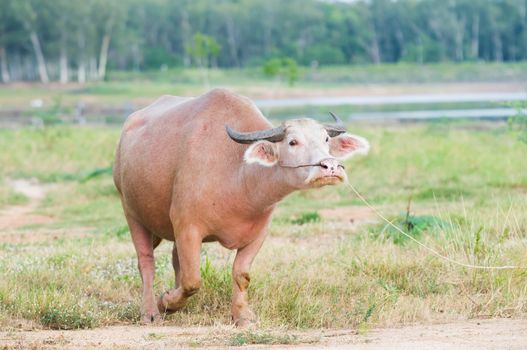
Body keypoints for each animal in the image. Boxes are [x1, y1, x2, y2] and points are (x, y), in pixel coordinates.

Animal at [114, 89, 372, 326]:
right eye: (292, 141)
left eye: (326, 140)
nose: (330, 167)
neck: (239, 174)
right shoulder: (188, 228)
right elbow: (192, 281)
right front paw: (166, 301)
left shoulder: (258, 233)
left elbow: (241, 275)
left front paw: (242, 316)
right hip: (131, 212)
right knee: (146, 263)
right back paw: (150, 311)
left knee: (175, 259)